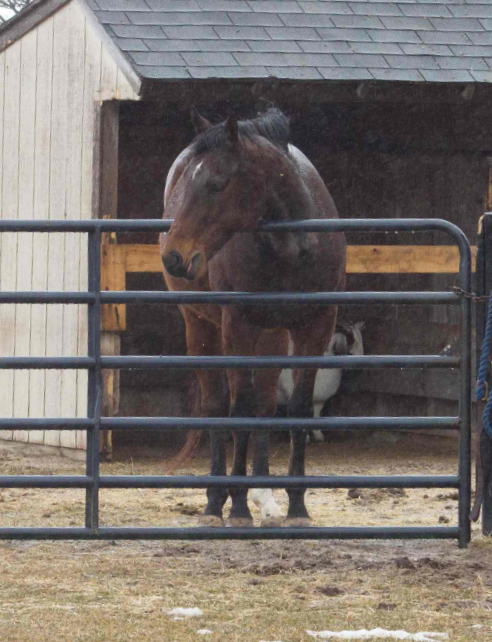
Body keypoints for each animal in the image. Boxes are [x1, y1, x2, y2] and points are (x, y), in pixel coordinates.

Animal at [160, 107, 346, 528]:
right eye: (188, 184)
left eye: (216, 184)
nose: (174, 256)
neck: (290, 247)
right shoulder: (237, 327)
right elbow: (238, 407)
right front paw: (238, 507)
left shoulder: (316, 326)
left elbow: (295, 408)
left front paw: (297, 507)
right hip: (201, 326)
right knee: (217, 406)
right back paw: (216, 503)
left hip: (272, 334)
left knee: (264, 402)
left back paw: (266, 498)